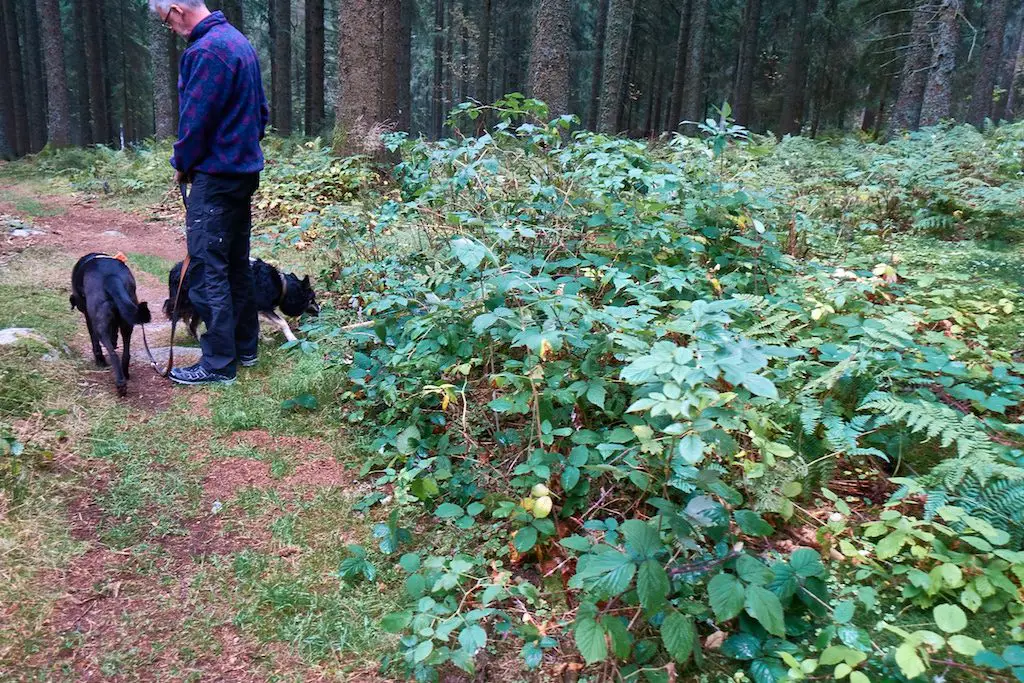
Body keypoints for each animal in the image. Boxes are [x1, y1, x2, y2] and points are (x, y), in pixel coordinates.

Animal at [70, 253, 151, 397]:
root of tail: (110, 278)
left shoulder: (89, 317)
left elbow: (95, 343)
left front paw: (99, 361)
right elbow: (114, 333)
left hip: (100, 323)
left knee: (113, 355)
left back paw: (120, 384)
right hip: (127, 321)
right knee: (125, 353)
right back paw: (125, 373)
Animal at [162, 258, 319, 342]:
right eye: (312, 299)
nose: (319, 310)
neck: (281, 284)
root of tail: (176, 271)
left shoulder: (252, 309)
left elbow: (256, 327)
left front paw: (263, 339)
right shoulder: (263, 308)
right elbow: (282, 322)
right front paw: (292, 339)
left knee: (185, 318)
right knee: (190, 322)